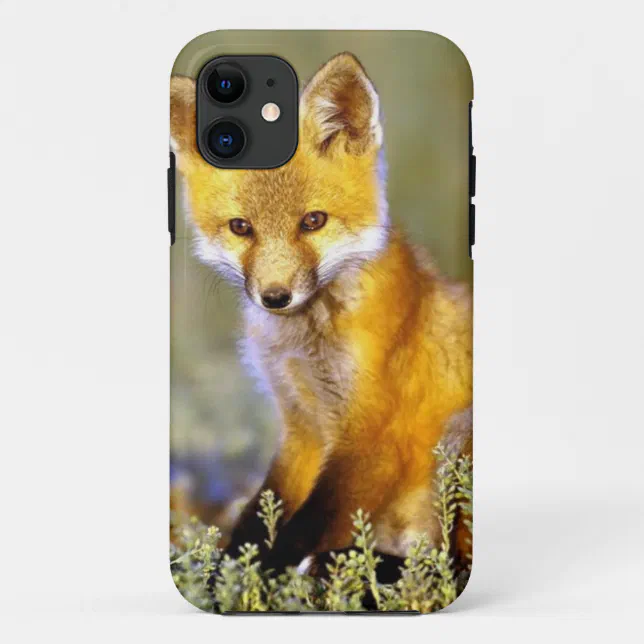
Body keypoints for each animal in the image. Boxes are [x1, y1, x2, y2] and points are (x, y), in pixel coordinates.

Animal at [170, 53, 473, 576]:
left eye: (313, 221)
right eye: (241, 227)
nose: (275, 296)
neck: (304, 347)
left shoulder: (374, 436)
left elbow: (303, 530)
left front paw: (263, 578)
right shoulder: (302, 427)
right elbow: (258, 516)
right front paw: (226, 572)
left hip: (457, 441)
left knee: (448, 566)